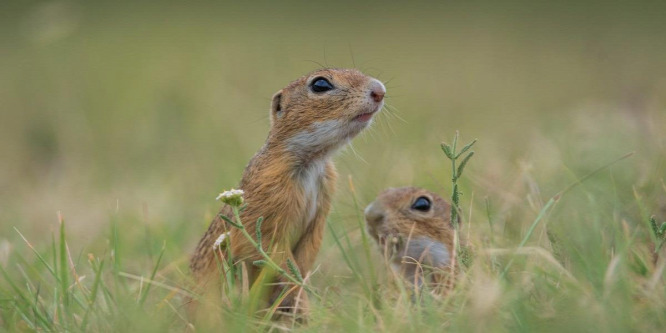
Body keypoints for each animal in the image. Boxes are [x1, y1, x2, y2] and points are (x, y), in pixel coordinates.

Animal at [188, 68, 384, 314]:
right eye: (320, 84)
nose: (380, 90)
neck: (312, 161)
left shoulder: (322, 207)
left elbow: (308, 251)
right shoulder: (266, 198)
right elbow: (267, 249)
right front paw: (298, 294)